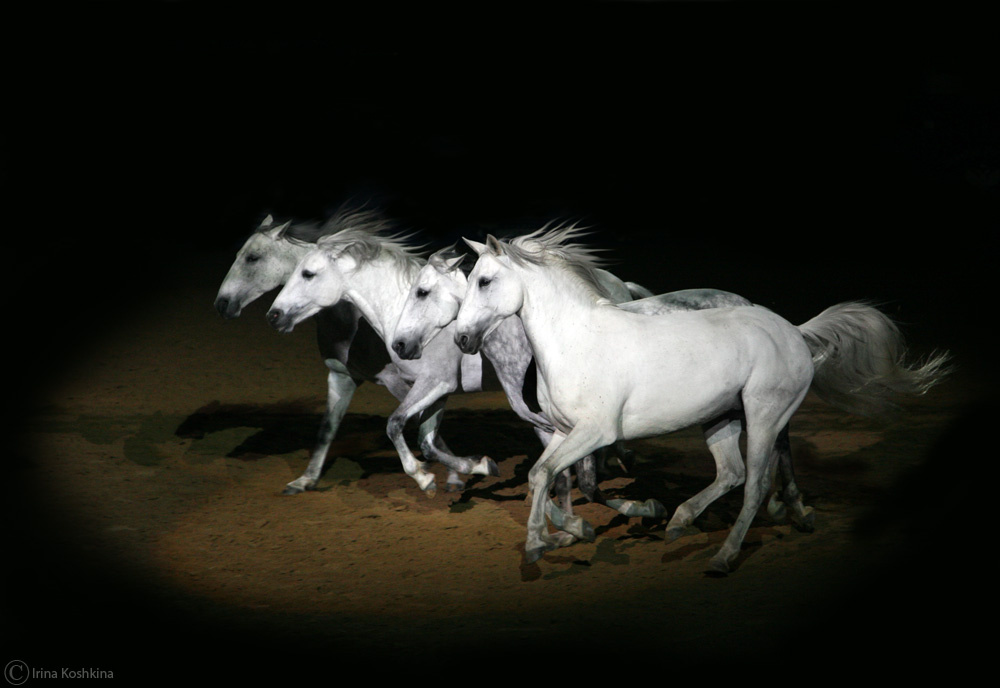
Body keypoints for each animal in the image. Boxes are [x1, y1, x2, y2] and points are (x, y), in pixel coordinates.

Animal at [453, 226, 950, 573]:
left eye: (485, 281)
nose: (460, 338)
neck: (577, 340)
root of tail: (793, 330)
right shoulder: (561, 431)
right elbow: (542, 477)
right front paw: (553, 538)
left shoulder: (596, 433)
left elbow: (555, 478)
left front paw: (545, 541)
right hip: (722, 418)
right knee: (731, 474)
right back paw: (680, 522)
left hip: (764, 414)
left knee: (754, 484)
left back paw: (726, 554)